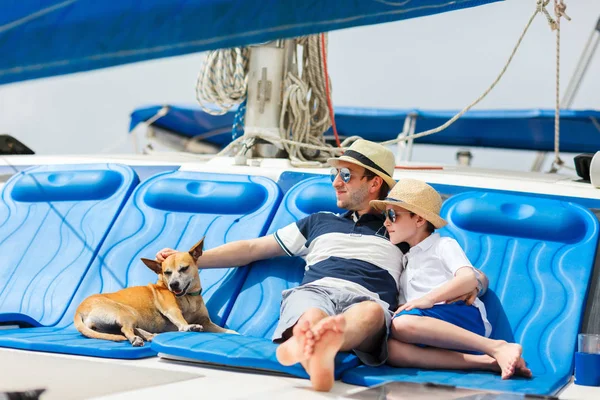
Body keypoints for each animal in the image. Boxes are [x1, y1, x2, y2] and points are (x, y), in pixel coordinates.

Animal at [74, 238, 236, 346]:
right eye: (167, 272)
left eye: (184, 268)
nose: (173, 285)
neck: (189, 298)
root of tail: (79, 310)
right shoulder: (172, 310)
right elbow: (182, 322)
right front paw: (189, 326)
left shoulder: (206, 322)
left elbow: (223, 330)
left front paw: (233, 333)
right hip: (128, 312)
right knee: (126, 329)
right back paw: (137, 338)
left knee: (127, 329)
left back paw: (149, 336)